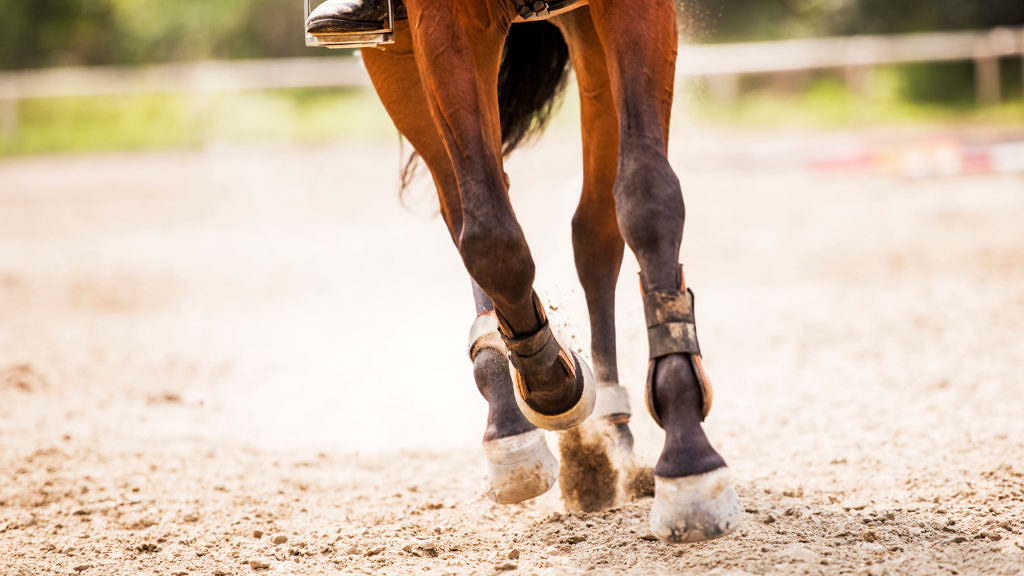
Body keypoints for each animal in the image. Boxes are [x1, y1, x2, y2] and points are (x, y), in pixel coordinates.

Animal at [355, 0, 743, 543]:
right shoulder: (437, 25)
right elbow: (489, 236)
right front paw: (551, 383)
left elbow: (647, 197)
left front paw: (689, 458)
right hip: (398, 58)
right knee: (465, 206)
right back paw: (508, 419)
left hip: (586, 36)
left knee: (595, 227)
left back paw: (612, 435)